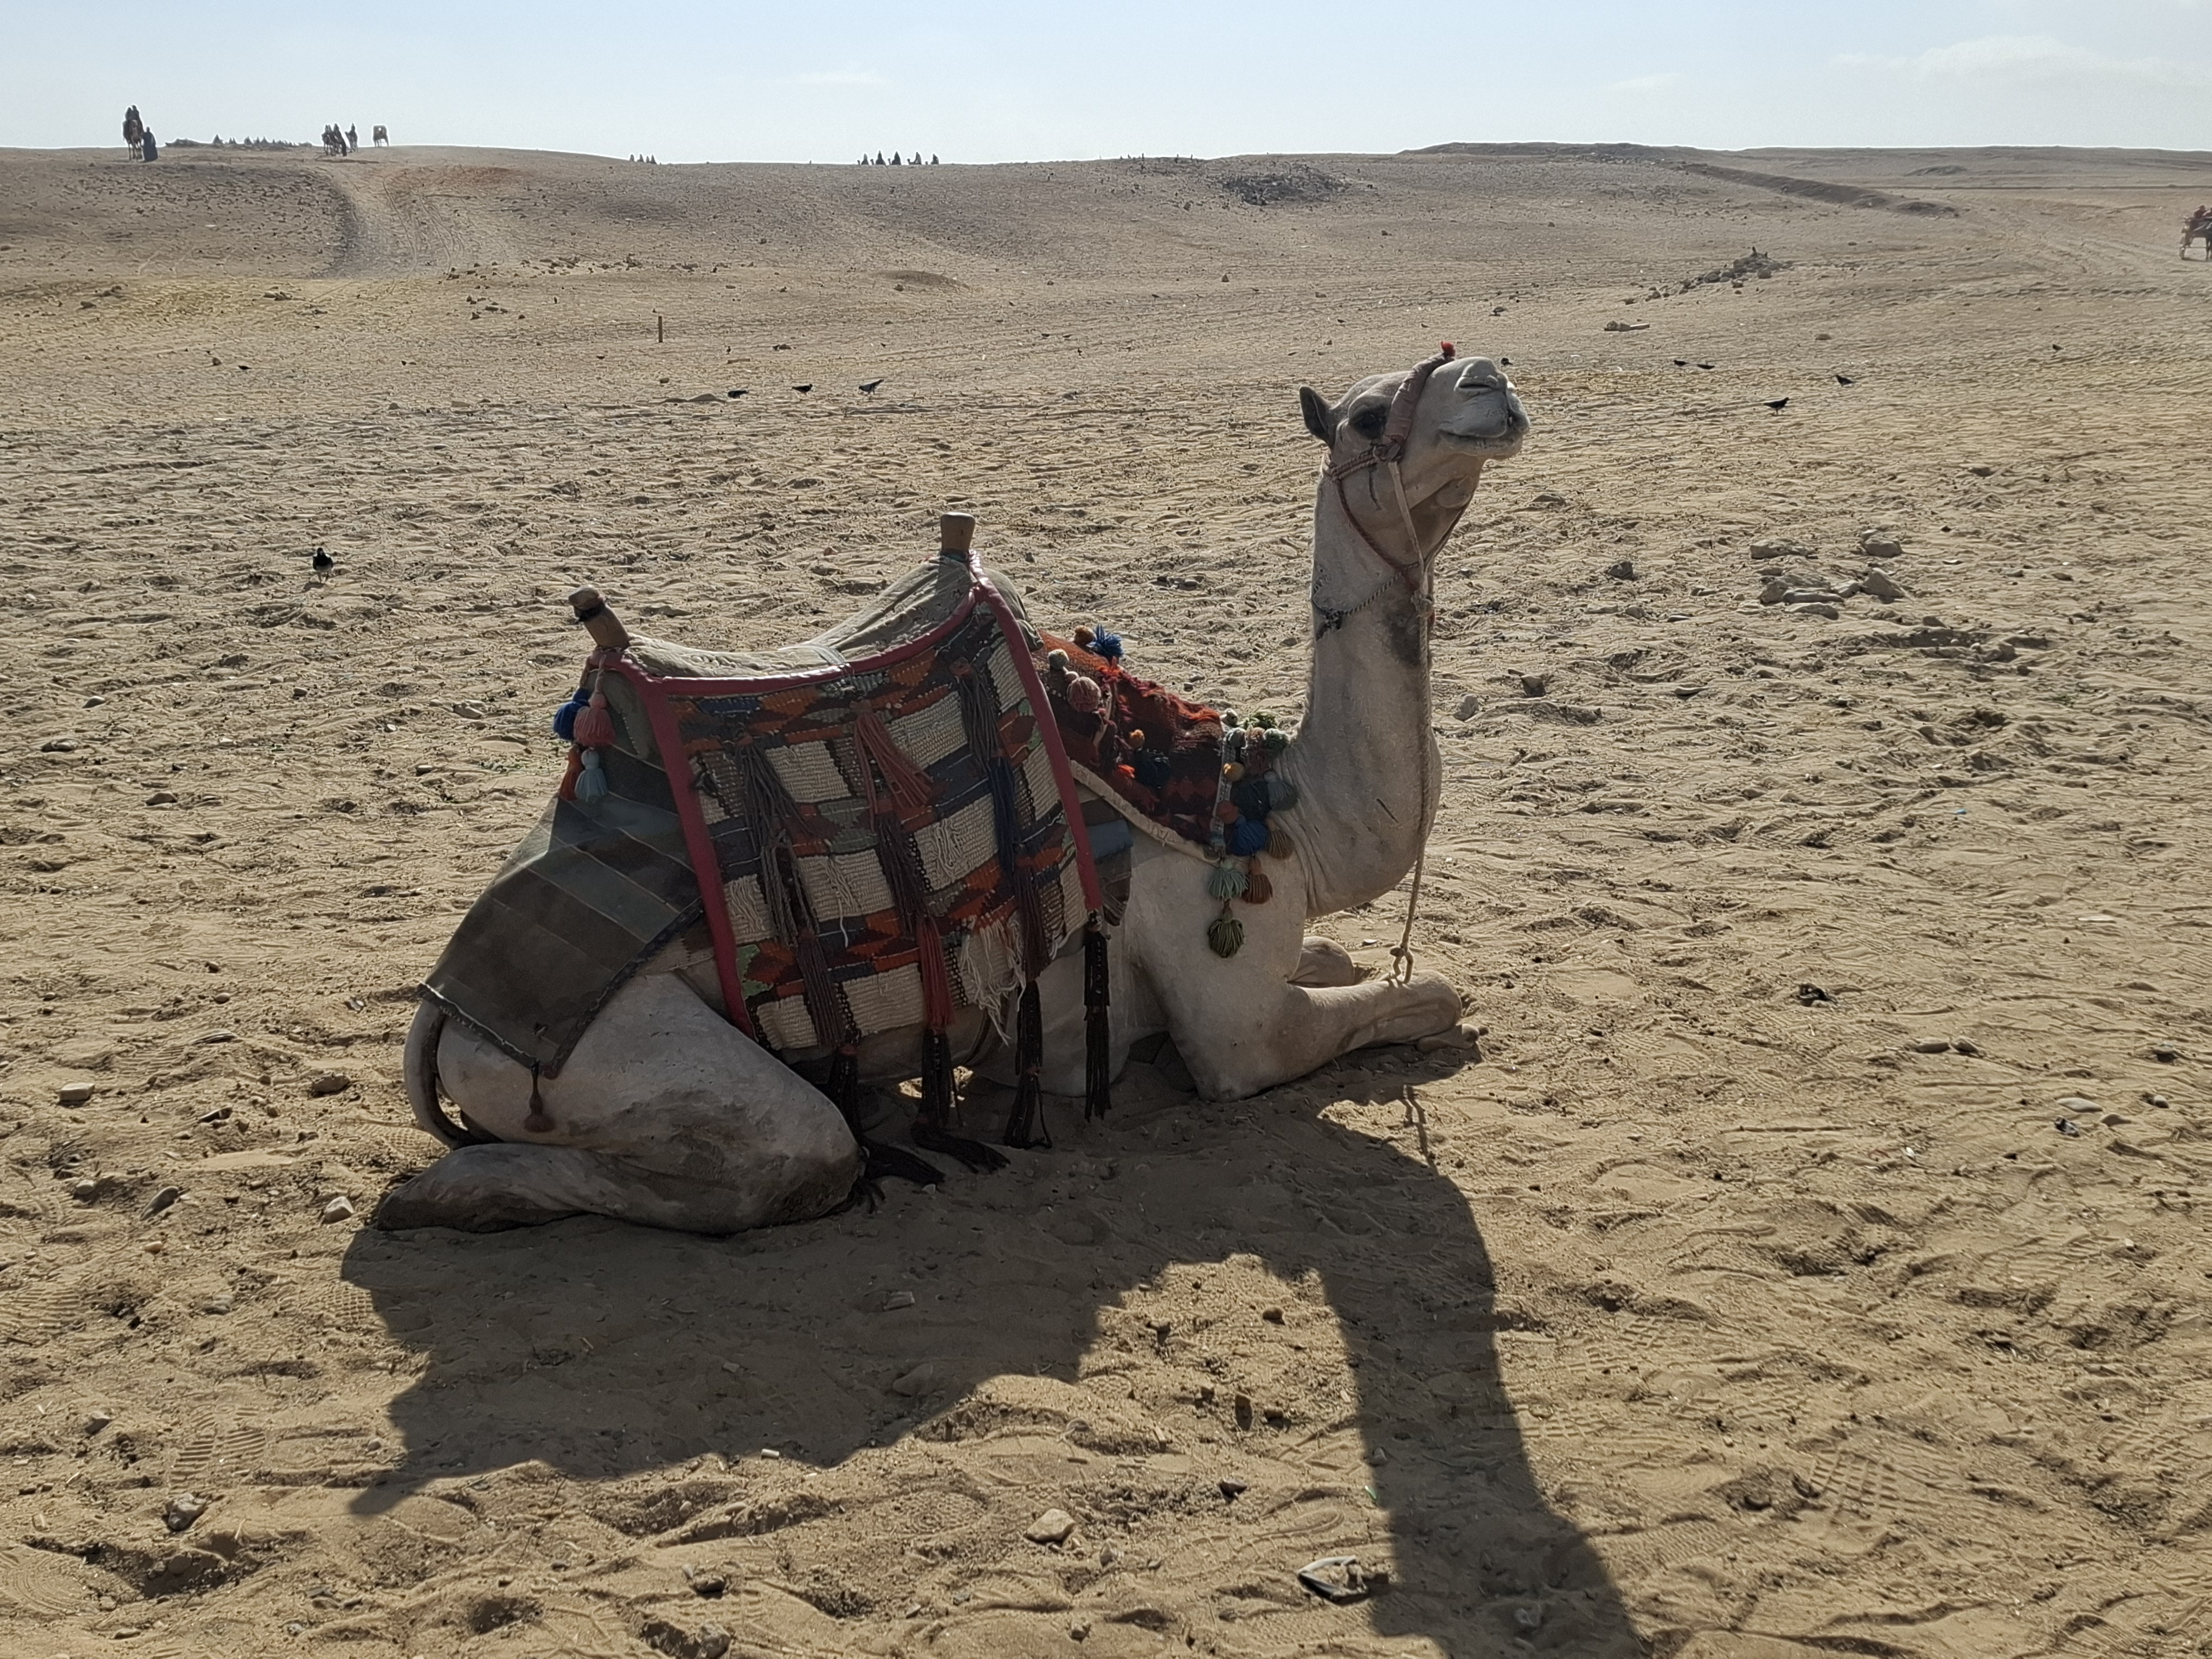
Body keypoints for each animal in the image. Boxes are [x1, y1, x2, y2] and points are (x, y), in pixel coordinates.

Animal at [380, 348, 1528, 1235]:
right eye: (1370, 415)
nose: (1491, 380)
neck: (1272, 808)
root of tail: (444, 1012)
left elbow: (1338, 960)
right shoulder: (1232, 1017)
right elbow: (1422, 996)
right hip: (603, 1059)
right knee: (791, 1163)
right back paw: (448, 1197)